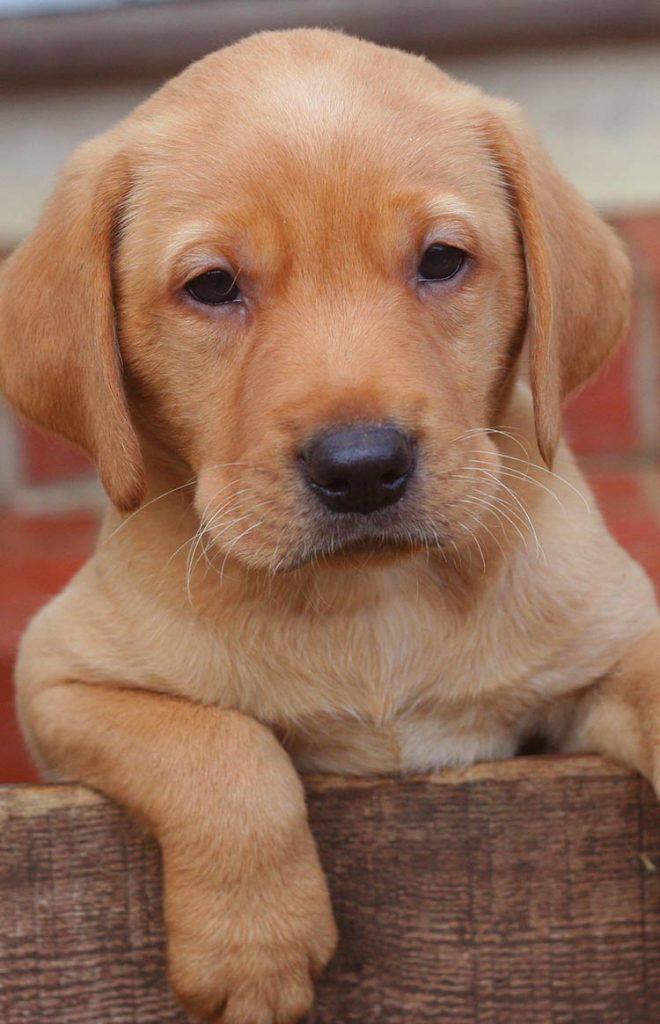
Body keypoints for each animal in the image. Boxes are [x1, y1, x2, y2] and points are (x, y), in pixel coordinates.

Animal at [1, 28, 658, 1024]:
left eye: (442, 262)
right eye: (213, 286)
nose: (361, 468)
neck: (375, 596)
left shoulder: (607, 648)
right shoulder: (63, 679)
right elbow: (218, 747)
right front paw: (253, 946)